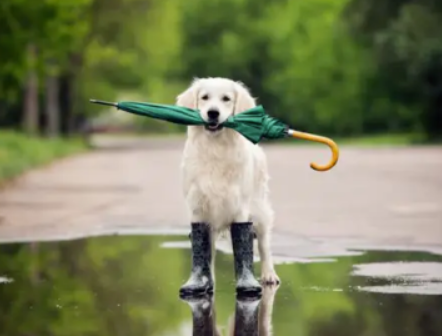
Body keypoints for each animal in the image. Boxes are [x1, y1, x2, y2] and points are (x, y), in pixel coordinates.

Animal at [176, 77, 280, 284]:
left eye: (226, 99)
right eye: (204, 97)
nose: (213, 113)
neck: (216, 148)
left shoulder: (240, 207)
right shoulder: (198, 207)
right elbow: (204, 250)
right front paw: (204, 281)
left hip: (260, 209)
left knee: (264, 244)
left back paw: (268, 274)